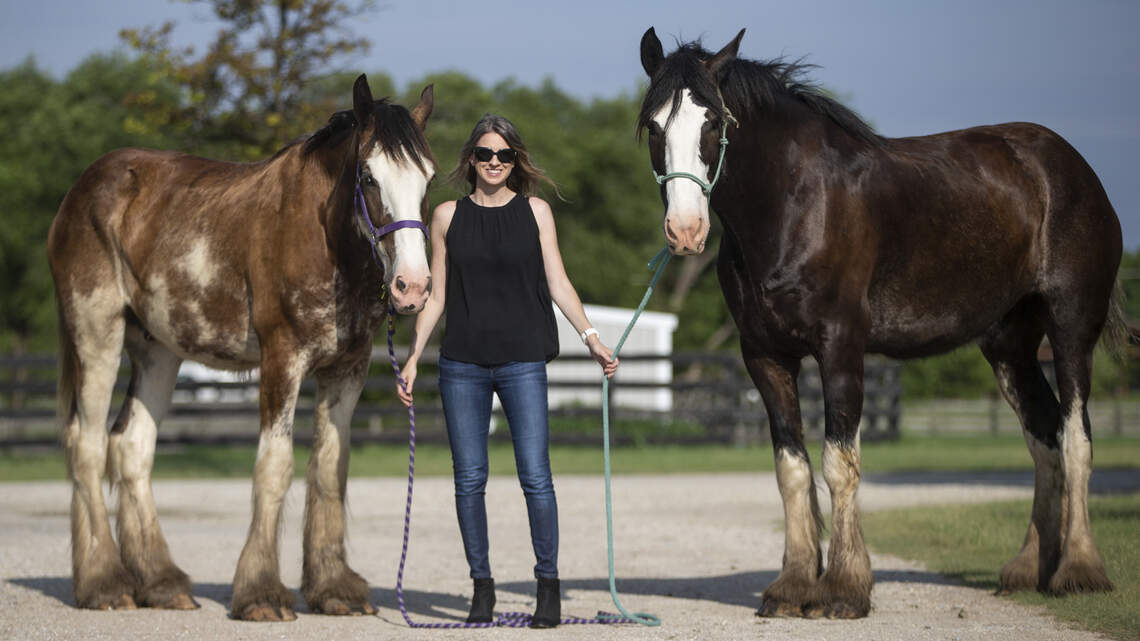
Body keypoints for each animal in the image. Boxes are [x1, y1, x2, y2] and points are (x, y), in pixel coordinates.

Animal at [47, 74, 435, 621]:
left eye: (429, 180)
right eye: (369, 176)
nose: (412, 287)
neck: (322, 236)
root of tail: (83, 189)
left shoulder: (348, 369)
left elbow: (330, 468)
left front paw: (334, 588)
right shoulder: (282, 360)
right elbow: (275, 468)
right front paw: (260, 594)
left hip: (158, 351)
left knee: (131, 447)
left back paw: (161, 583)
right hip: (96, 332)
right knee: (87, 442)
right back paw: (104, 583)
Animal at [638, 27, 1121, 618]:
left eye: (712, 121)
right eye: (654, 126)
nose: (685, 230)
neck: (794, 203)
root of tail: (1068, 165)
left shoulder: (841, 347)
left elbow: (838, 463)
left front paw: (844, 589)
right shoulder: (765, 357)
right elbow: (791, 469)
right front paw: (792, 586)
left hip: (1072, 327)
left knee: (1075, 437)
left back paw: (1079, 569)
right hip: (1010, 346)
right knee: (1044, 438)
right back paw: (1030, 569)